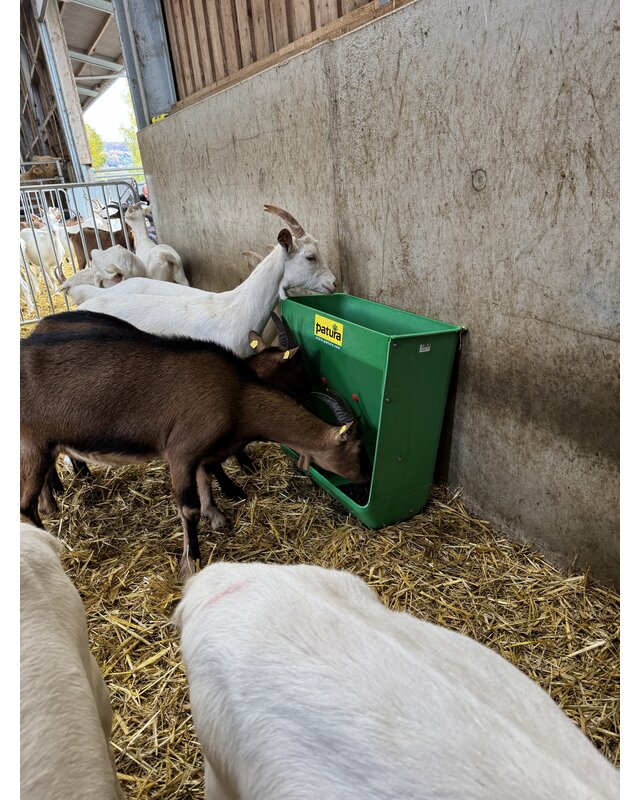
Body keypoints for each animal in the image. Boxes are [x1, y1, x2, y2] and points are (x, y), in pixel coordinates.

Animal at [20, 310, 368, 578]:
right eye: (358, 448)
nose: (364, 482)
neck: (238, 396)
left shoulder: (201, 451)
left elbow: (205, 481)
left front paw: (218, 515)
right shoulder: (181, 451)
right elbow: (189, 506)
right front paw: (192, 561)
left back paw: (53, 501)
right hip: (34, 443)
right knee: (25, 505)